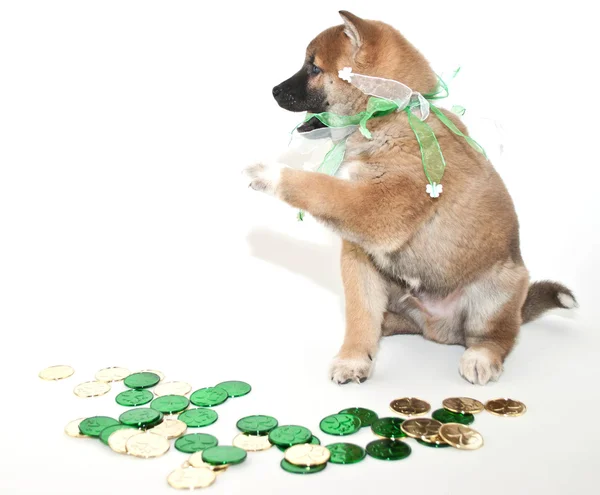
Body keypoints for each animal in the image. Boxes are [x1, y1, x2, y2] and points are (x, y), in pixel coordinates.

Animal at [245, 10, 576, 384]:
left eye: (314, 68)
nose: (273, 90)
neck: (389, 114)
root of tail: (440, 329)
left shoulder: (377, 210)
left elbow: (319, 187)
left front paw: (269, 173)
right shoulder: (359, 254)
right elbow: (360, 313)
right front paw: (354, 357)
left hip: (497, 291)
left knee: (500, 334)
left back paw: (482, 356)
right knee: (392, 319)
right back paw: (384, 330)